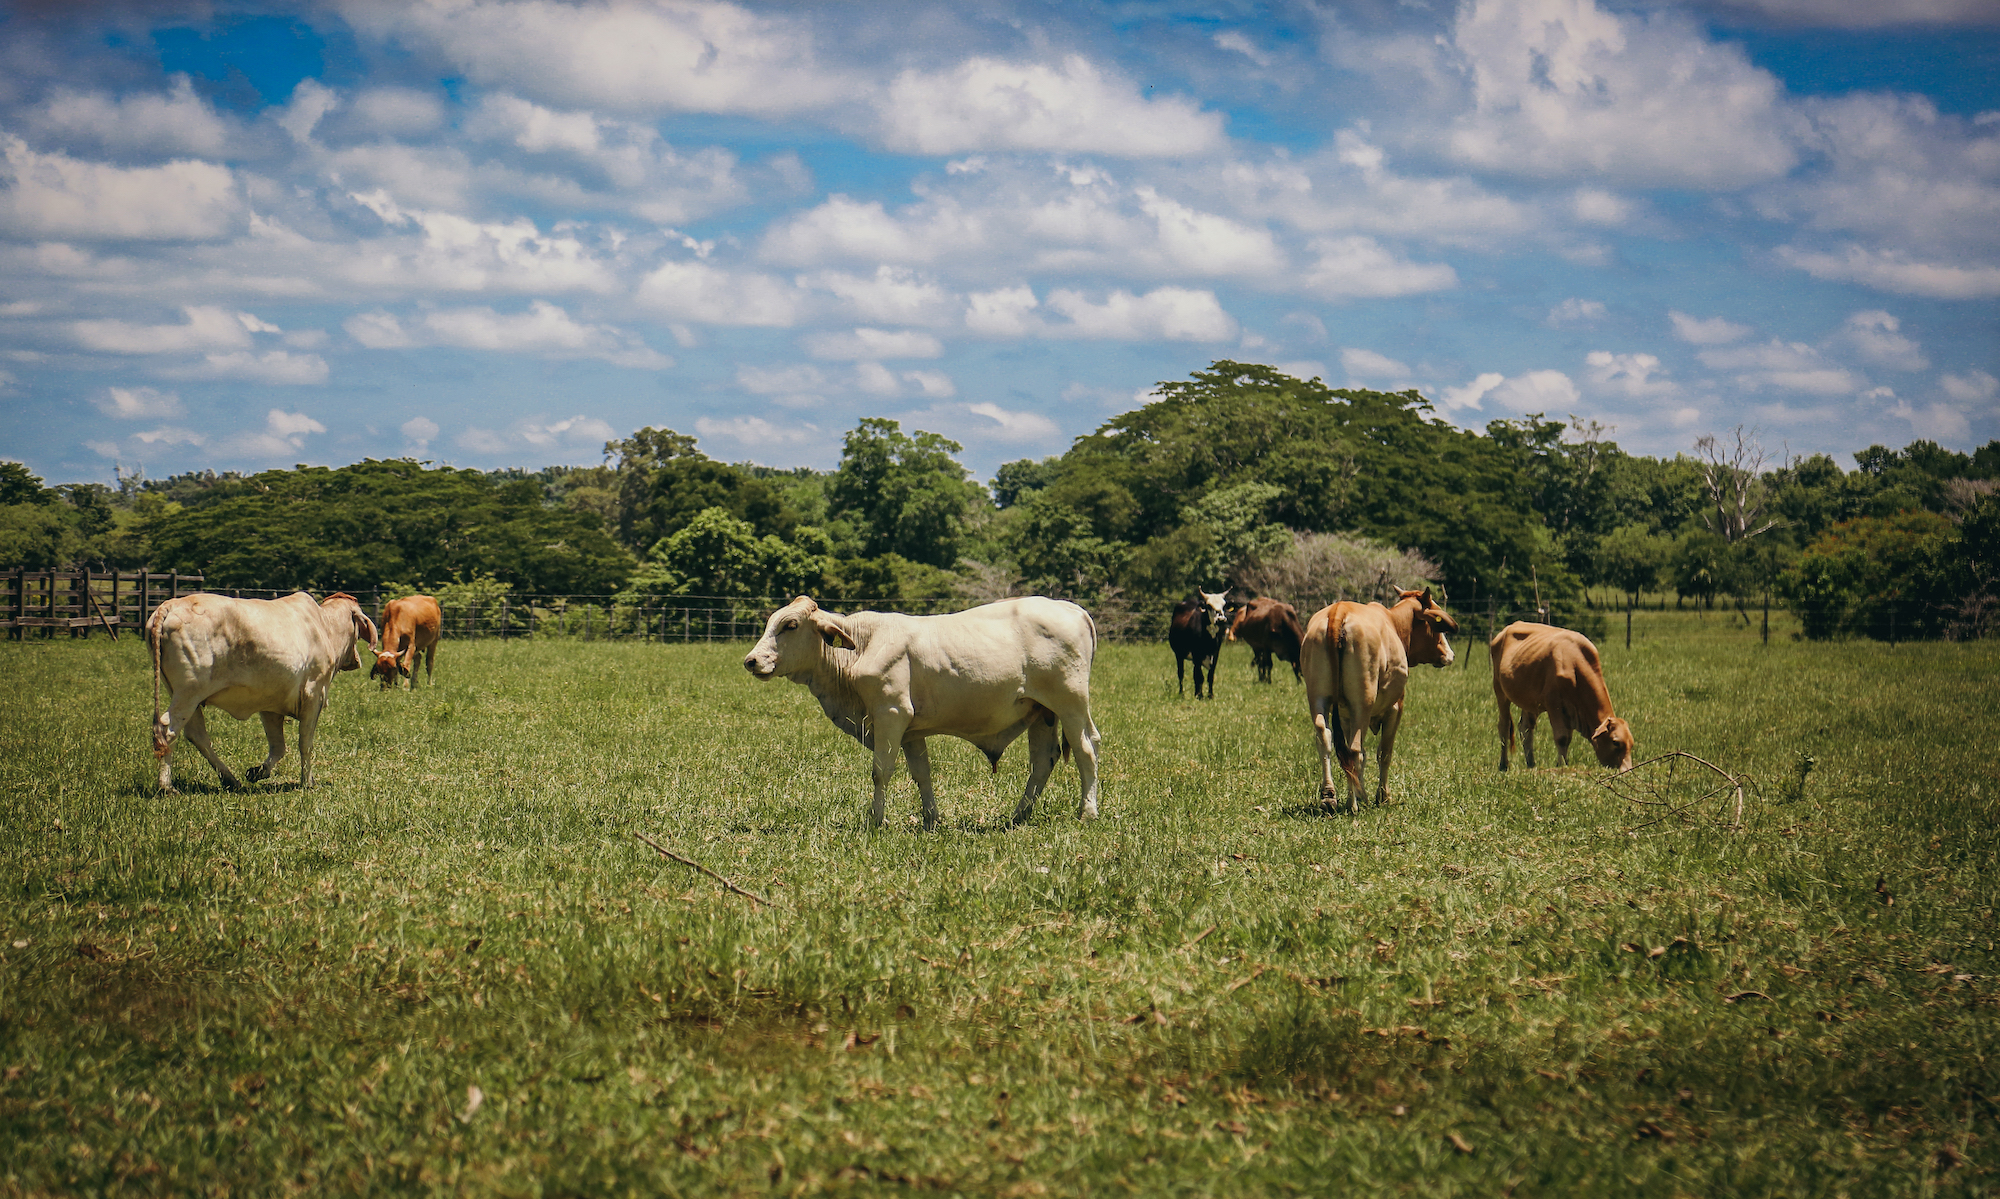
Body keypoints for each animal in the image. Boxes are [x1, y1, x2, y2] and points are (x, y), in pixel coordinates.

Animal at [146, 587, 376, 791]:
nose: (356, 661)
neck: (324, 627)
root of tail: (169, 605)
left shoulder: (270, 705)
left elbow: (278, 747)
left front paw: (258, 772)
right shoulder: (314, 696)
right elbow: (305, 743)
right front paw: (308, 782)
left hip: (185, 696)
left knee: (197, 735)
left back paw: (230, 780)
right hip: (188, 694)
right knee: (168, 730)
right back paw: (167, 786)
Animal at [744, 591, 1104, 835]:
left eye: (790, 625)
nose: (751, 660)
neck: (861, 645)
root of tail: (1070, 607)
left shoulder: (890, 713)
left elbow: (881, 772)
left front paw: (876, 820)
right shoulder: (911, 732)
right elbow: (922, 774)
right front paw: (931, 819)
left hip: (1070, 703)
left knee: (1087, 750)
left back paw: (1087, 812)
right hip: (1042, 712)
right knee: (1043, 760)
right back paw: (1018, 816)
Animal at [1296, 583, 1456, 811]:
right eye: (1437, 625)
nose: (1449, 654)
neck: (1394, 622)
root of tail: (1338, 611)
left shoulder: (1346, 716)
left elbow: (1361, 756)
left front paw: (1362, 790)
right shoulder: (1395, 708)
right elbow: (1384, 753)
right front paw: (1382, 796)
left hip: (1318, 697)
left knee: (1325, 738)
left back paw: (1329, 796)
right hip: (1363, 702)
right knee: (1353, 750)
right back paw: (1352, 804)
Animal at [1496, 623, 1632, 771]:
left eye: (1631, 743)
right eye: (1615, 742)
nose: (1627, 769)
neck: (1575, 662)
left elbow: (1567, 738)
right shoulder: (1554, 705)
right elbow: (1561, 737)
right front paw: (1562, 765)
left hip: (1529, 702)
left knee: (1526, 729)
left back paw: (1531, 763)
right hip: (1500, 691)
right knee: (1504, 726)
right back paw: (1503, 764)